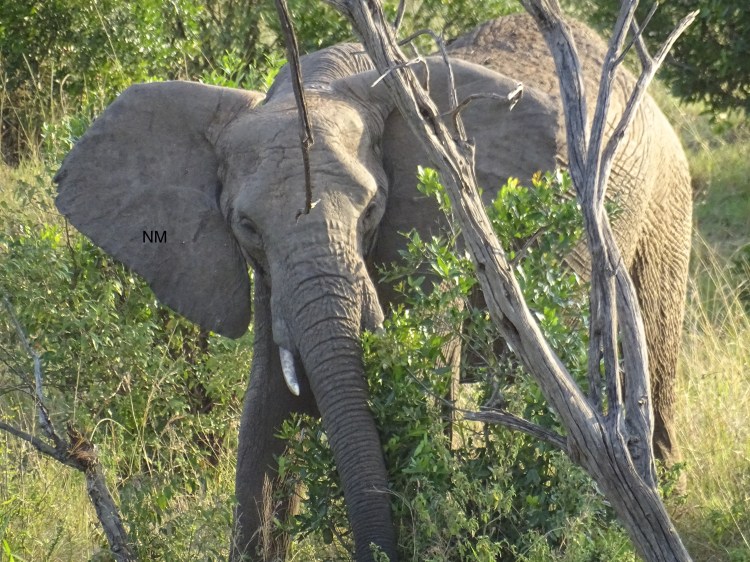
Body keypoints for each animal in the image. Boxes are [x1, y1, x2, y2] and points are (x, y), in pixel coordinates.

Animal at [54, 13, 691, 562]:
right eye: (247, 226)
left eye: (371, 211)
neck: (320, 81)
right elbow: (267, 405)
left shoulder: (435, 219)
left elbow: (419, 384)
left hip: (665, 196)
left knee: (653, 351)